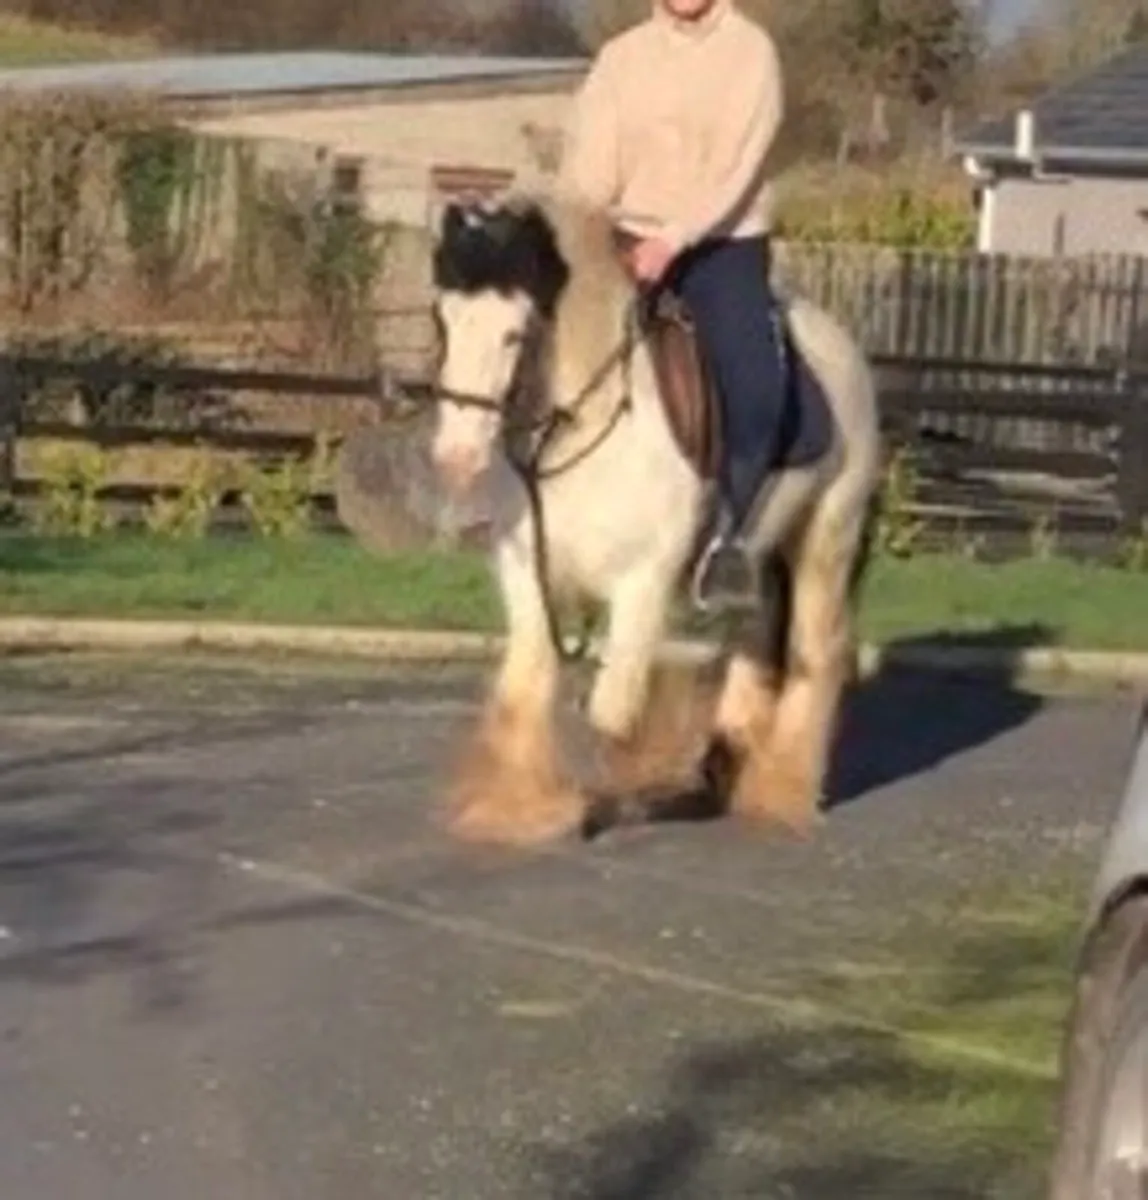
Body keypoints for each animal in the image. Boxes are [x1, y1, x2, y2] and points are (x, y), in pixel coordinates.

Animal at [427, 193, 882, 848]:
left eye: (516, 332)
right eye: (442, 320)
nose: (456, 457)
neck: (582, 426)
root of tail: (841, 348)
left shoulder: (641, 583)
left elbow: (610, 710)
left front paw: (599, 800)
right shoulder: (525, 574)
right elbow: (524, 689)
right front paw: (517, 809)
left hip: (826, 538)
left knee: (815, 650)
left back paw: (781, 790)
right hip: (759, 552)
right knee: (754, 636)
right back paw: (726, 759)